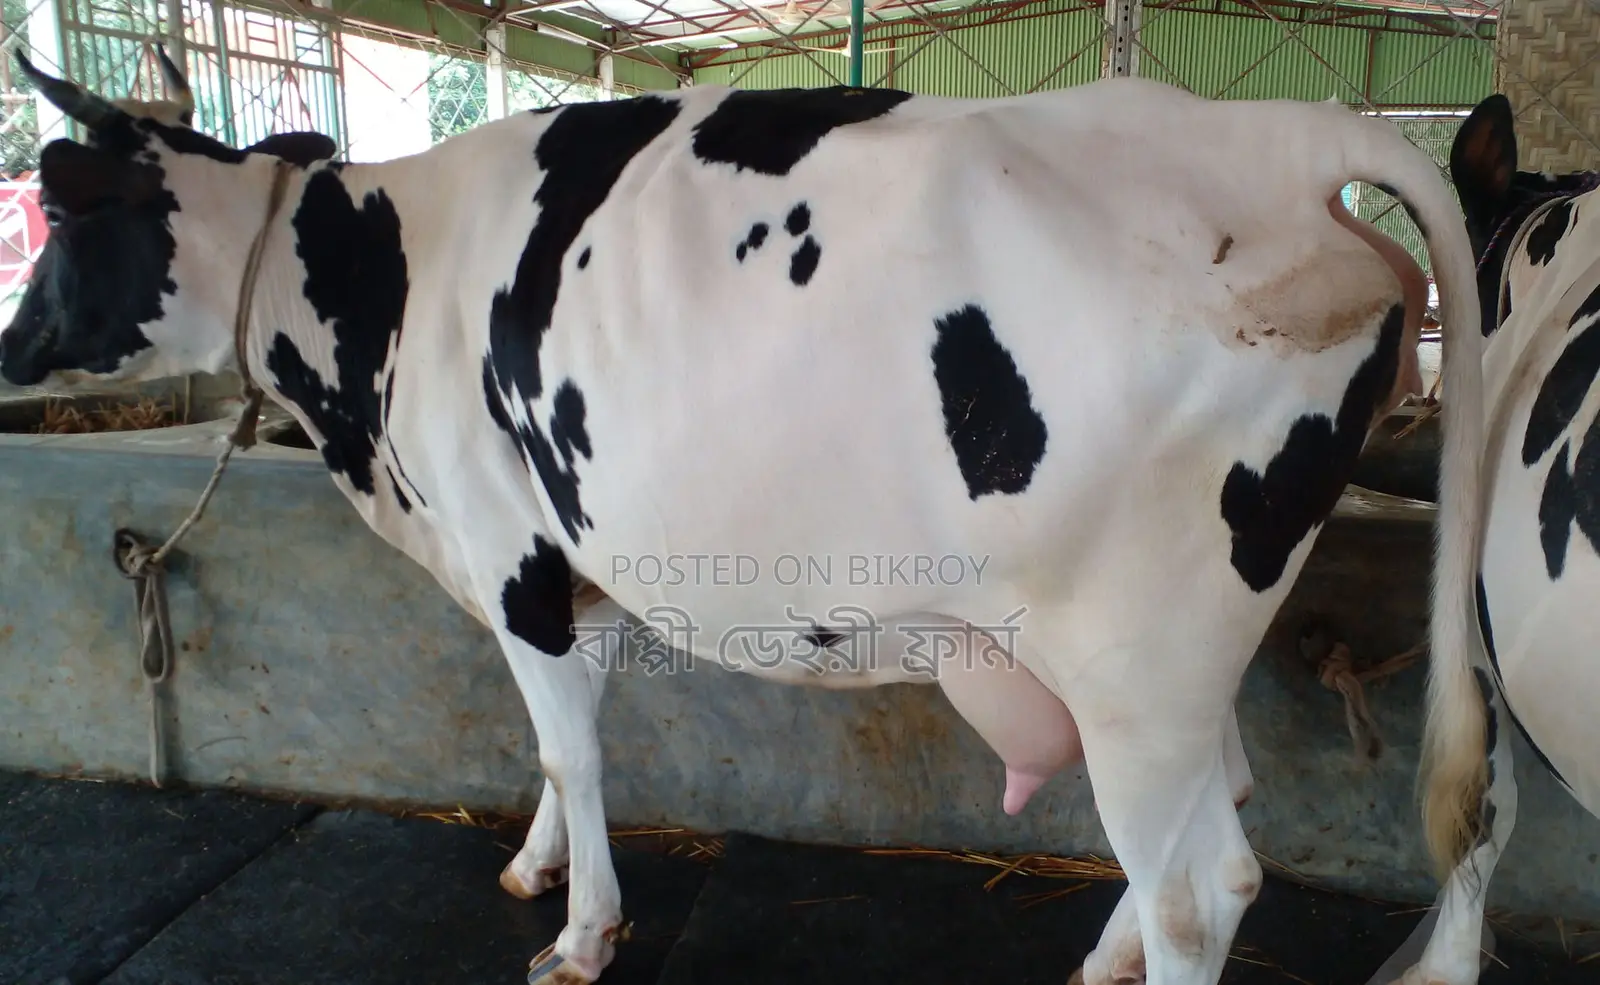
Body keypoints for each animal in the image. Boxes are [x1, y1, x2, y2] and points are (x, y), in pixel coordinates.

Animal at [0, 51, 1484, 985]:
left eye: (58, 202)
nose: (11, 348)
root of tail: (1281, 132)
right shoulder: (576, 567)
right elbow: (562, 750)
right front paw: (537, 869)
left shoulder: (512, 551)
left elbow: (571, 750)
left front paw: (582, 935)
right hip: (1186, 655)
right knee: (1215, 813)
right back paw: (1100, 957)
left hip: (1139, 655)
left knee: (1204, 884)